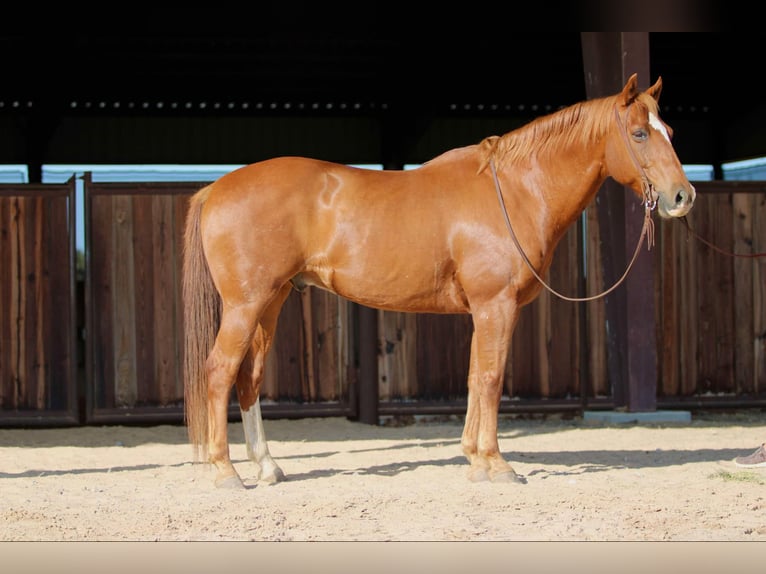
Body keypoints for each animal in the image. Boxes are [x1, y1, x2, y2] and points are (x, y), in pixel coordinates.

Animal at [182, 73, 696, 488]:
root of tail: (217, 188)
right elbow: (490, 378)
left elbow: (473, 377)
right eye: (639, 134)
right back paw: (225, 472)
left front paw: (474, 459)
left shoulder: (485, 311)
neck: (514, 190)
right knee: (219, 372)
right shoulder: (496, 306)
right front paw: (497, 464)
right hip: (246, 306)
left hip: (270, 304)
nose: (682, 196)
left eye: (670, 132)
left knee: (248, 377)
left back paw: (267, 467)